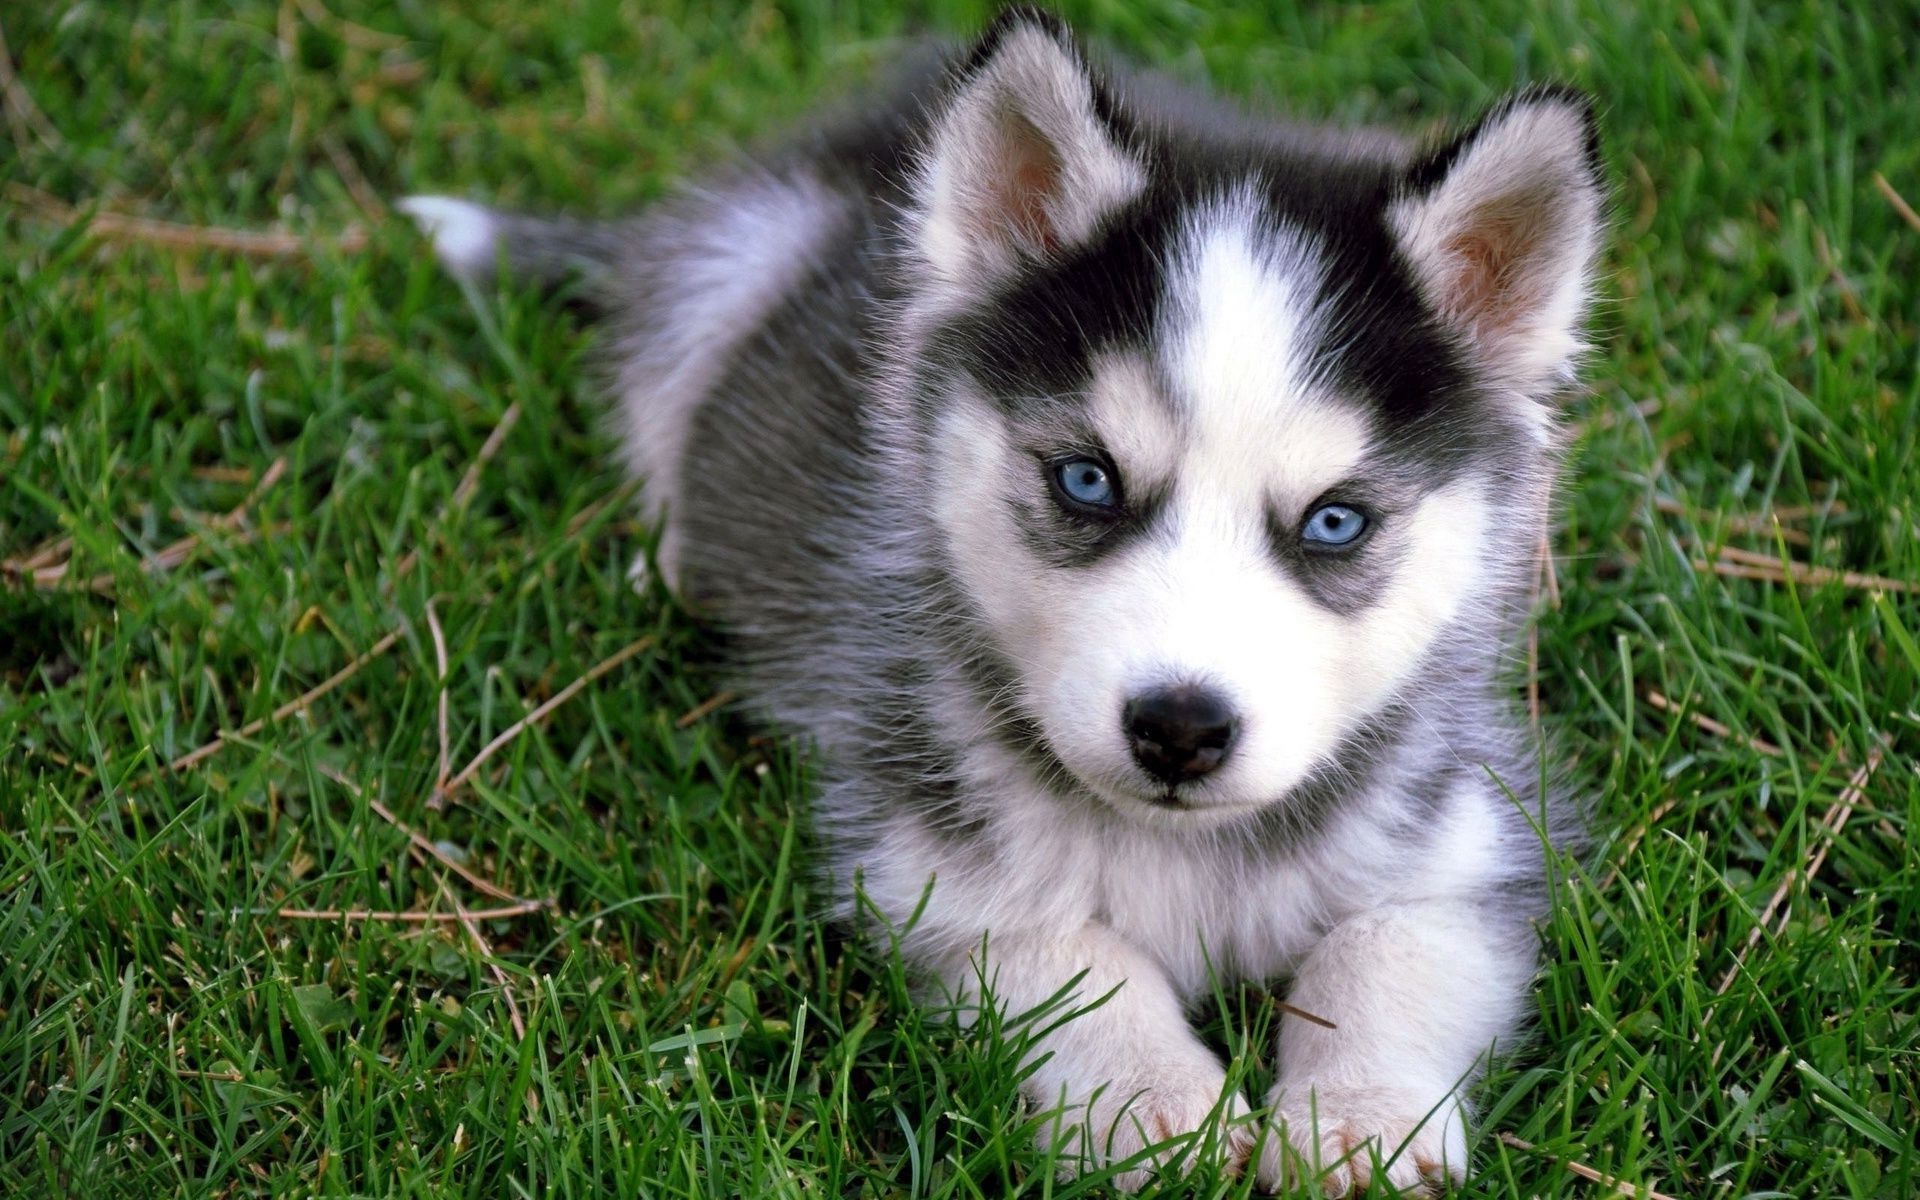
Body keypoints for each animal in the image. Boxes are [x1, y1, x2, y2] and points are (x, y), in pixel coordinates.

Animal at [405, 9, 1605, 1190]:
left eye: (1336, 523)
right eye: (1087, 480)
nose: (1179, 729)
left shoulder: (1472, 830)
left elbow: (1390, 948)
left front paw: (1361, 1120)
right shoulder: (923, 853)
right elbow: (1070, 957)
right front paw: (1159, 1109)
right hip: (727, 272)